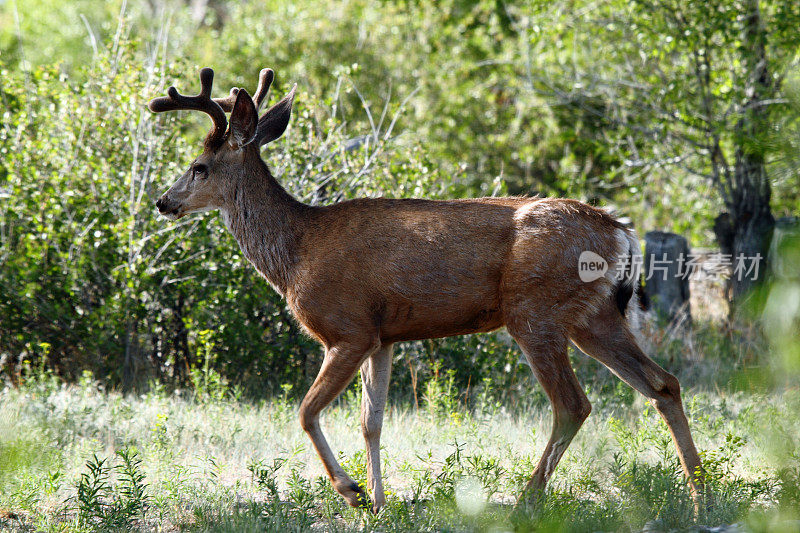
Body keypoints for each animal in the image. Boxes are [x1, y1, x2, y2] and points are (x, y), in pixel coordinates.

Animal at [148, 67, 700, 512]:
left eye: (199, 166)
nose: (163, 201)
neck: (296, 252)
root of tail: (621, 230)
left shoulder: (347, 329)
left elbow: (306, 411)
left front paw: (351, 492)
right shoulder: (383, 337)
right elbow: (372, 421)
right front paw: (379, 502)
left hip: (534, 312)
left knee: (573, 404)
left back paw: (526, 502)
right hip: (594, 315)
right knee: (663, 383)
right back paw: (701, 494)